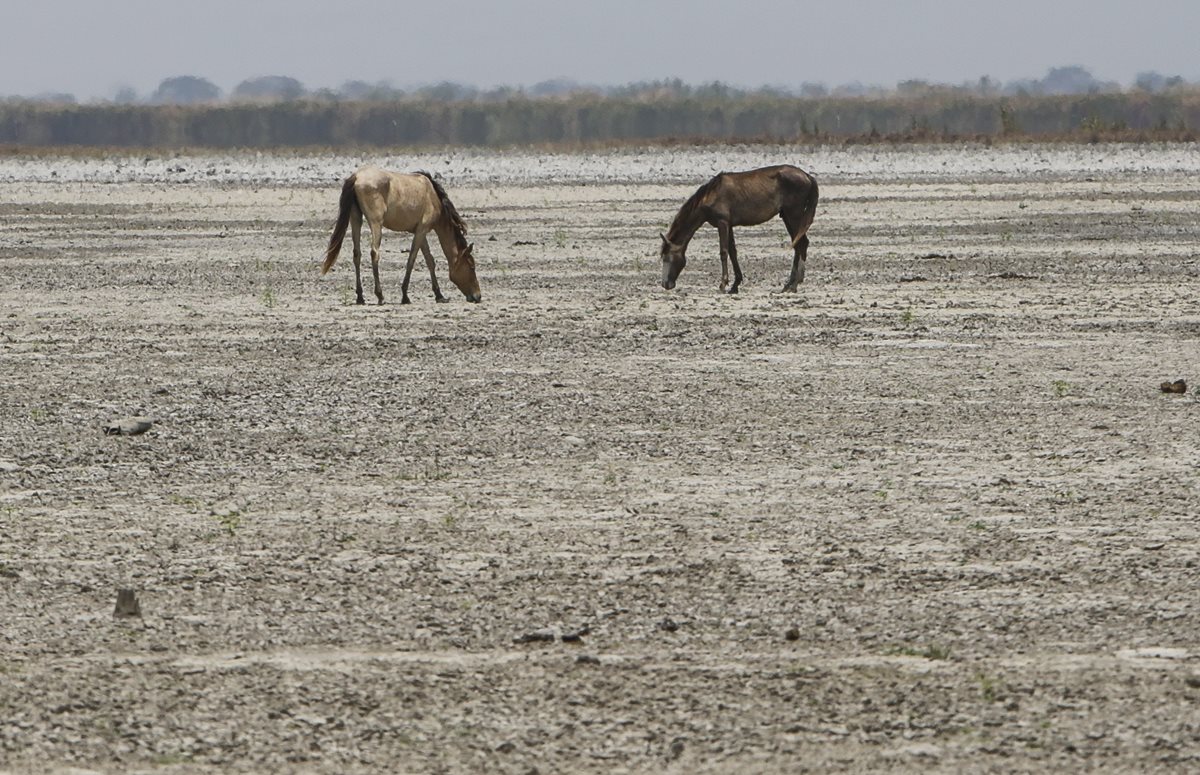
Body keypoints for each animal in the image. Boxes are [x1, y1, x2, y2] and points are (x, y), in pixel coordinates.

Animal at [326, 165, 484, 304]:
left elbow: (430, 261)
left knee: (357, 254)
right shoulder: (422, 230)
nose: (478, 296)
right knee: (374, 253)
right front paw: (405, 296)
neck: (433, 196)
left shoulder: (421, 232)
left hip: (355, 218)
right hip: (376, 223)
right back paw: (380, 295)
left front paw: (439, 295)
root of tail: (356, 176)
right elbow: (411, 260)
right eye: (472, 266)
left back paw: (360, 297)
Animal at [662, 164, 820, 295]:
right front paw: (735, 285)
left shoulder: (722, 222)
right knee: (799, 244)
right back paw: (789, 284)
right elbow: (733, 252)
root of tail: (807, 176)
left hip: (794, 215)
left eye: (666, 257)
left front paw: (723, 284)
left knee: (801, 244)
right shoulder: (729, 225)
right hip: (787, 216)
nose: (665, 284)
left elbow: (724, 252)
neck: (712, 194)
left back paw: (794, 284)